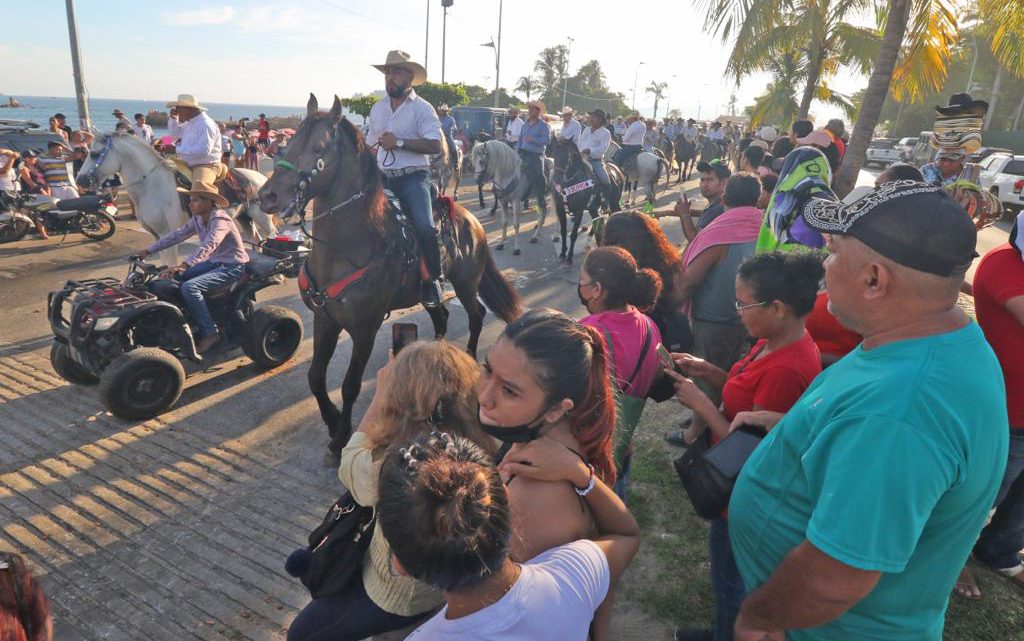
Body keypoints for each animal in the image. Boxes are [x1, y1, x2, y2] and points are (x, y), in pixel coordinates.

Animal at [74, 132, 276, 262]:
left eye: (94, 154)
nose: (80, 180)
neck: (153, 186)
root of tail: (260, 177)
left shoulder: (167, 234)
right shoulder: (158, 238)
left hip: (262, 218)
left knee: (271, 237)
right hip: (245, 217)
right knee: (257, 239)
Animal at [260, 96, 524, 458]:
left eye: (318, 148)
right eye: (289, 141)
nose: (268, 196)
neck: (345, 249)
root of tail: (472, 220)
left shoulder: (365, 329)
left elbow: (350, 385)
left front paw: (341, 436)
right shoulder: (325, 320)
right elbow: (315, 377)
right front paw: (331, 420)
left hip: (467, 285)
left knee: (476, 315)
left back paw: (468, 357)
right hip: (428, 293)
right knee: (441, 315)